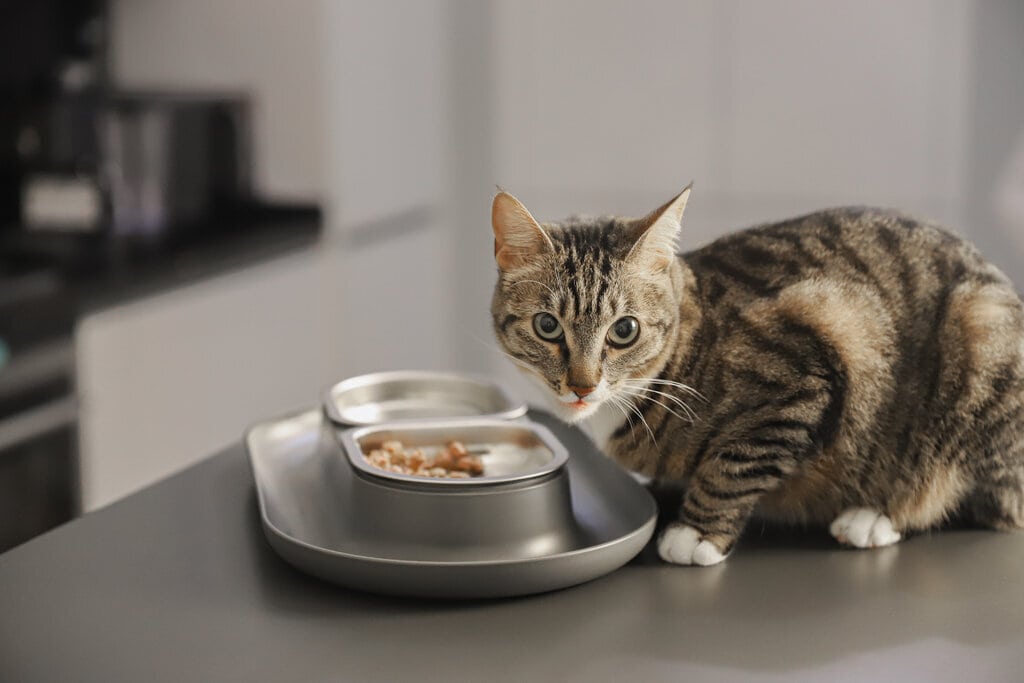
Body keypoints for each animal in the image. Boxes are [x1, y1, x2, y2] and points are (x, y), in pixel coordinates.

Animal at [489, 185, 1024, 565]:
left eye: (624, 330)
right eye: (547, 325)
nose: (582, 385)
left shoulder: (801, 375)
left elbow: (734, 463)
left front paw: (696, 535)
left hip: (980, 342)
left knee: (981, 496)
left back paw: (874, 517)